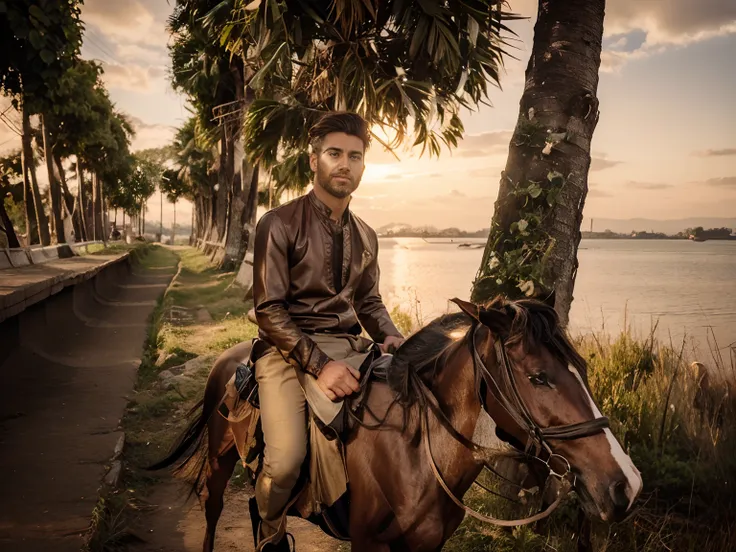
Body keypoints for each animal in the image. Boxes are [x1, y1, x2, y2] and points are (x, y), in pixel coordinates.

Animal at [148, 298, 640, 552]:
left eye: (583, 369)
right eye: (539, 376)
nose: (626, 486)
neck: (417, 457)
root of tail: (230, 359)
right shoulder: (368, 544)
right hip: (219, 464)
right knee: (214, 512)